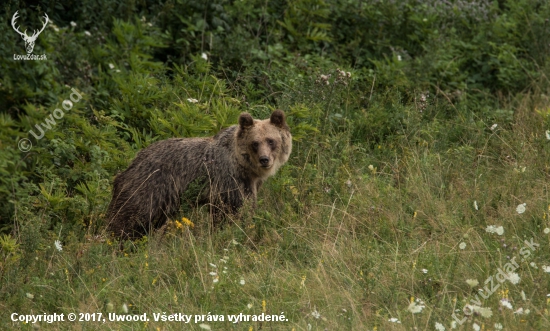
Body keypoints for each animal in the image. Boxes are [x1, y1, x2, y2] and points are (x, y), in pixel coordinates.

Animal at [104, 111, 294, 239]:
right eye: (255, 143)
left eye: (271, 140)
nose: (264, 159)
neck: (244, 167)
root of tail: (131, 164)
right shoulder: (229, 180)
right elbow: (233, 211)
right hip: (149, 187)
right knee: (130, 218)